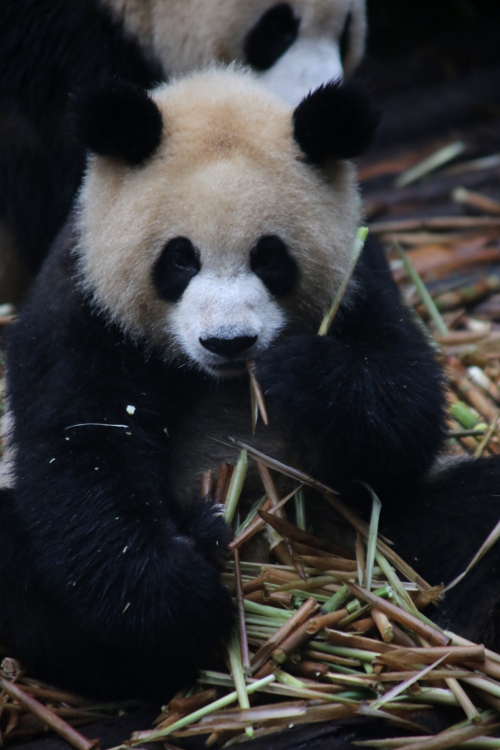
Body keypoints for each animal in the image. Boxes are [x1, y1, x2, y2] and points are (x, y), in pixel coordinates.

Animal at [1, 67, 500, 704]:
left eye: (269, 257)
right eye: (180, 259)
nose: (229, 341)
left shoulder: (361, 277)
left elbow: (402, 415)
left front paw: (300, 372)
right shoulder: (83, 306)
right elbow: (84, 450)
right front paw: (178, 597)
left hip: (366, 525)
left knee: (473, 513)